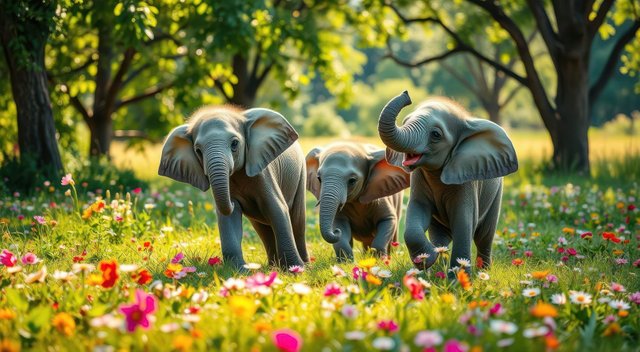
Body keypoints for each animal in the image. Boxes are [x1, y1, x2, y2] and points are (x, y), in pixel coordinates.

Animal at [160, 106, 310, 270]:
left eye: (234, 144)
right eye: (198, 151)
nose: (233, 201)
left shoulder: (265, 173)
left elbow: (277, 209)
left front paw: (295, 269)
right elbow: (228, 218)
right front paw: (240, 270)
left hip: (301, 175)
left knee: (297, 221)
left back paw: (304, 264)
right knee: (263, 229)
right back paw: (272, 267)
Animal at [378, 90, 516, 272]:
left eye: (436, 135)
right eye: (404, 122)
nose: (406, 94)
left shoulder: (466, 181)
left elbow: (464, 223)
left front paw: (458, 277)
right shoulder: (419, 180)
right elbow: (416, 213)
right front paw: (428, 258)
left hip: (496, 194)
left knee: (485, 235)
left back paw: (483, 270)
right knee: (440, 235)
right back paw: (438, 262)